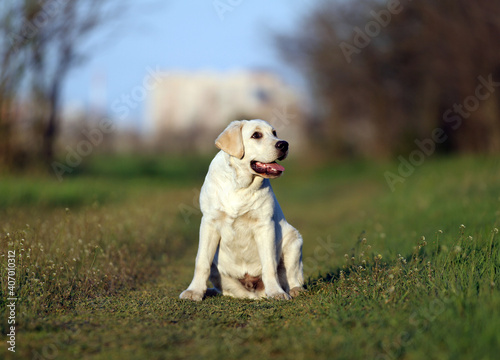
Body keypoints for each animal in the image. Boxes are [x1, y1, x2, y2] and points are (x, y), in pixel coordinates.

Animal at [180, 119, 304, 300]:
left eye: (274, 133)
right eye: (256, 135)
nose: (284, 144)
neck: (241, 185)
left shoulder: (264, 225)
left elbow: (269, 265)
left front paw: (276, 292)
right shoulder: (209, 223)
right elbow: (201, 261)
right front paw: (194, 291)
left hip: (294, 241)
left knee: (293, 276)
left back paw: (295, 290)